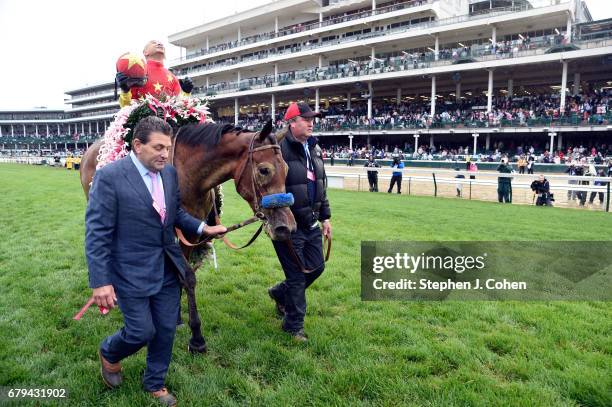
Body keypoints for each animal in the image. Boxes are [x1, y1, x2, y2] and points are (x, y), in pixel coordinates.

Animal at [79, 120, 296, 354]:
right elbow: (188, 277)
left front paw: (175, 316)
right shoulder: (171, 232)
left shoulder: (190, 233)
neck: (190, 176)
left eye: (287, 169)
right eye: (264, 170)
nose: (287, 227)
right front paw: (197, 337)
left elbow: (181, 274)